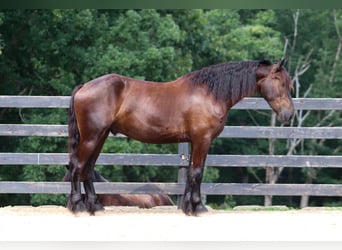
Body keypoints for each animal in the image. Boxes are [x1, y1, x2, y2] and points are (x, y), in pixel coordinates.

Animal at [67, 59, 294, 216]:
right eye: (280, 82)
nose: (289, 114)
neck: (209, 93)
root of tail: (84, 86)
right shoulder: (203, 140)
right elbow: (197, 172)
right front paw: (198, 207)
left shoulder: (195, 141)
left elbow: (193, 172)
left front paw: (188, 207)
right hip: (92, 137)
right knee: (78, 166)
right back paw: (78, 206)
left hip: (101, 136)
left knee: (87, 168)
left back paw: (95, 206)